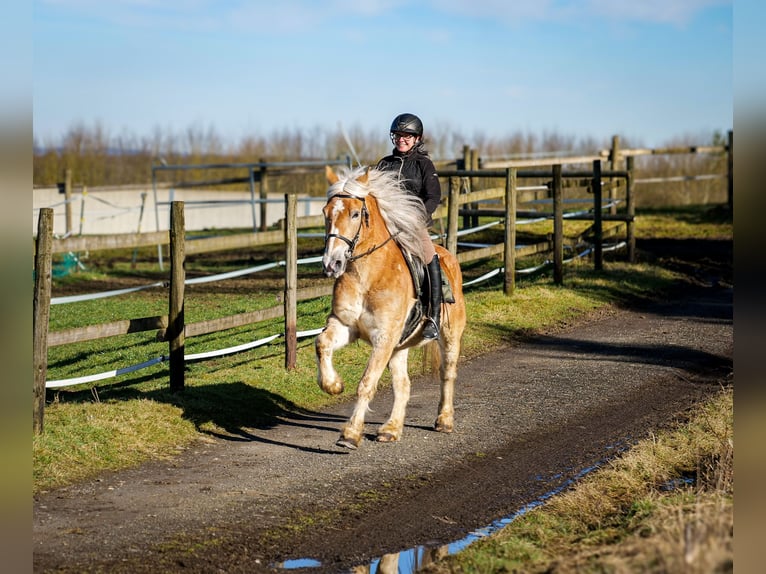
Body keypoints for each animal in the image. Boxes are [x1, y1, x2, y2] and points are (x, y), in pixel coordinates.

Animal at [314, 164, 468, 452]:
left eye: (355, 213)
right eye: (326, 212)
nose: (331, 264)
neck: (367, 275)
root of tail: (450, 257)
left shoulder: (383, 338)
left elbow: (366, 383)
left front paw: (350, 434)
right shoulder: (346, 326)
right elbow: (322, 343)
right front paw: (333, 385)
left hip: (449, 336)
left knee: (447, 374)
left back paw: (444, 420)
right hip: (399, 347)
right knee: (403, 385)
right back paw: (391, 429)